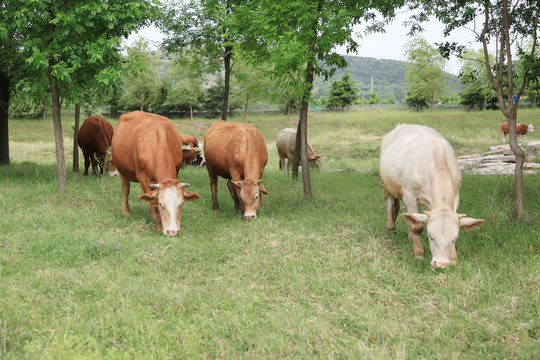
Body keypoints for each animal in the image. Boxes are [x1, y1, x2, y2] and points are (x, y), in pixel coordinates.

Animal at [380, 124, 486, 268]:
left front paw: (453, 258)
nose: (440, 264)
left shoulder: (455, 197)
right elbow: (418, 227)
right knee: (390, 204)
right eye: (430, 236)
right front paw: (418, 253)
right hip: (387, 185)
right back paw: (391, 228)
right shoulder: (410, 195)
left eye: (455, 238)